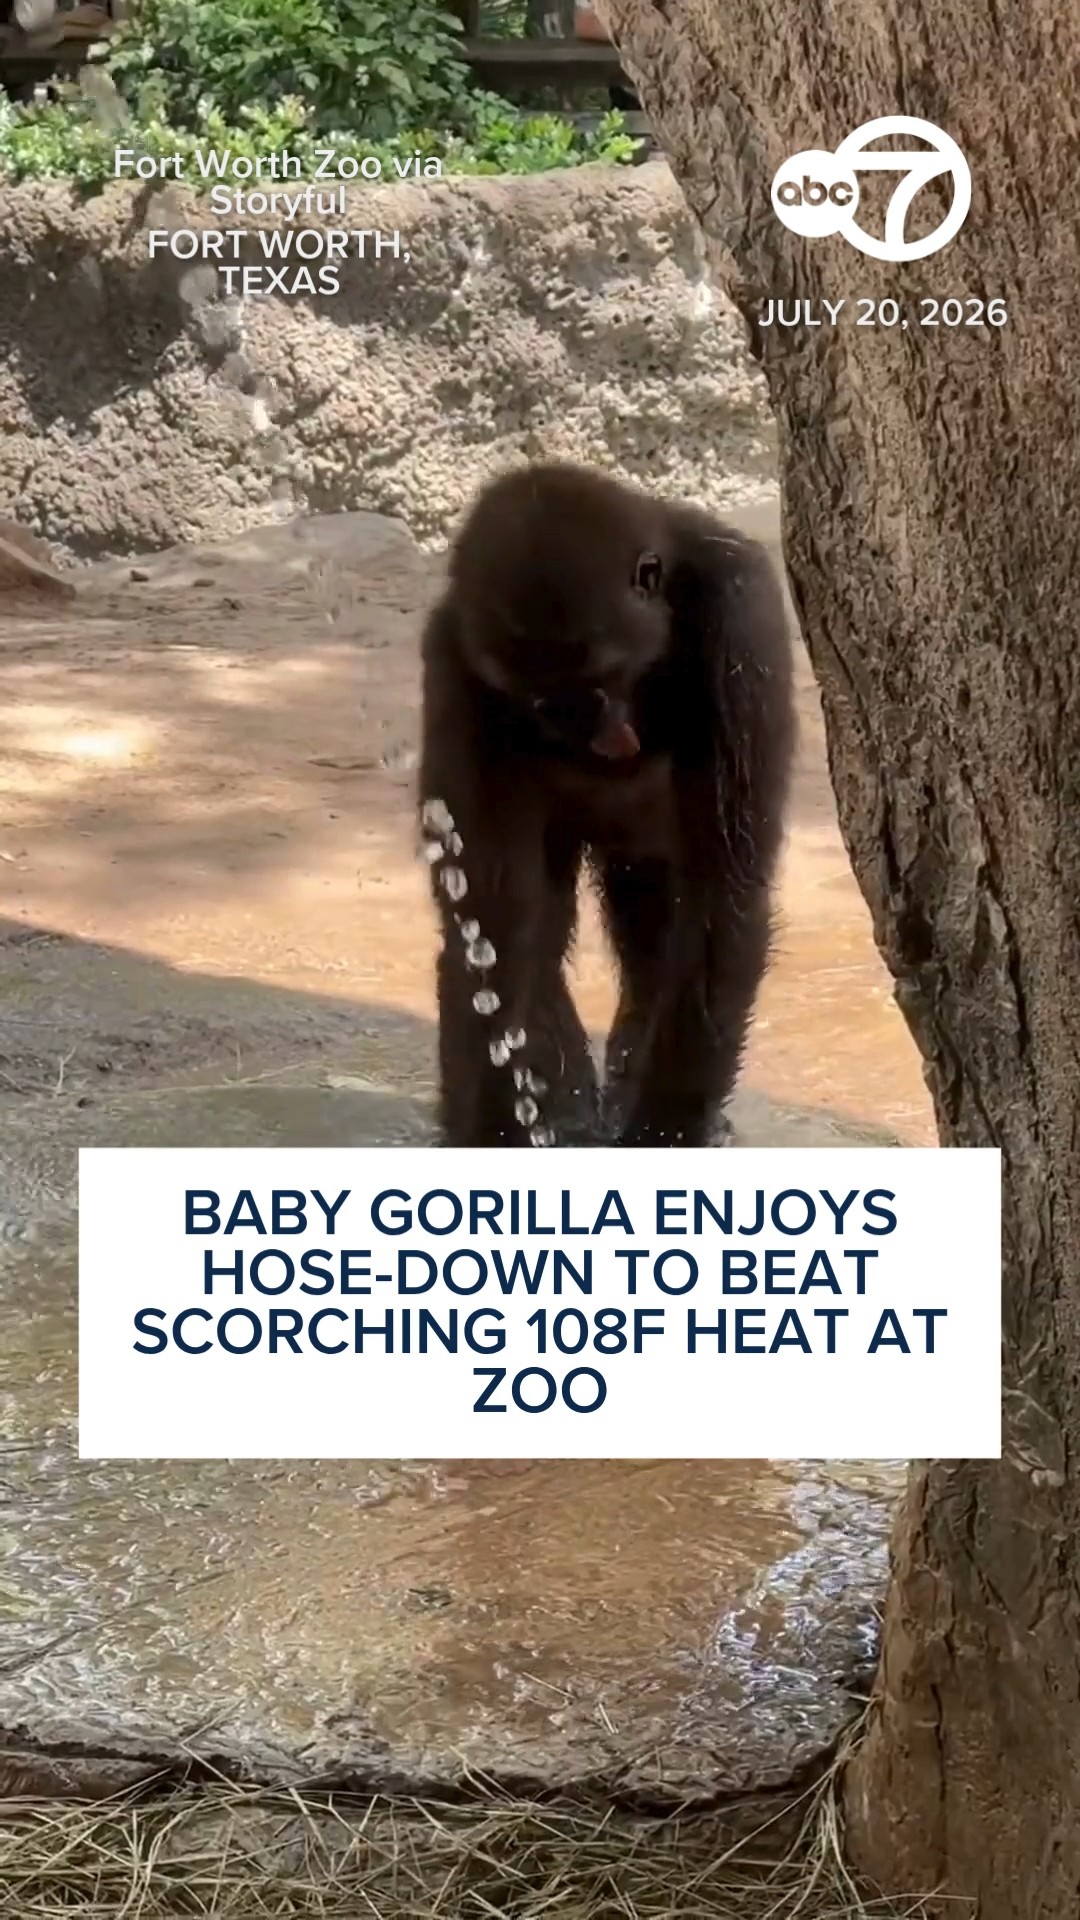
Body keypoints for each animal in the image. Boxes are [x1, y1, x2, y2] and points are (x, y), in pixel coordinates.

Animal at [418, 462, 795, 1149]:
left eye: (606, 678)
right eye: (543, 702)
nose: (609, 742)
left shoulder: (739, 613)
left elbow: (723, 896)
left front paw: (666, 1130)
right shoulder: (455, 662)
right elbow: (496, 924)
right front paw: (494, 1129)